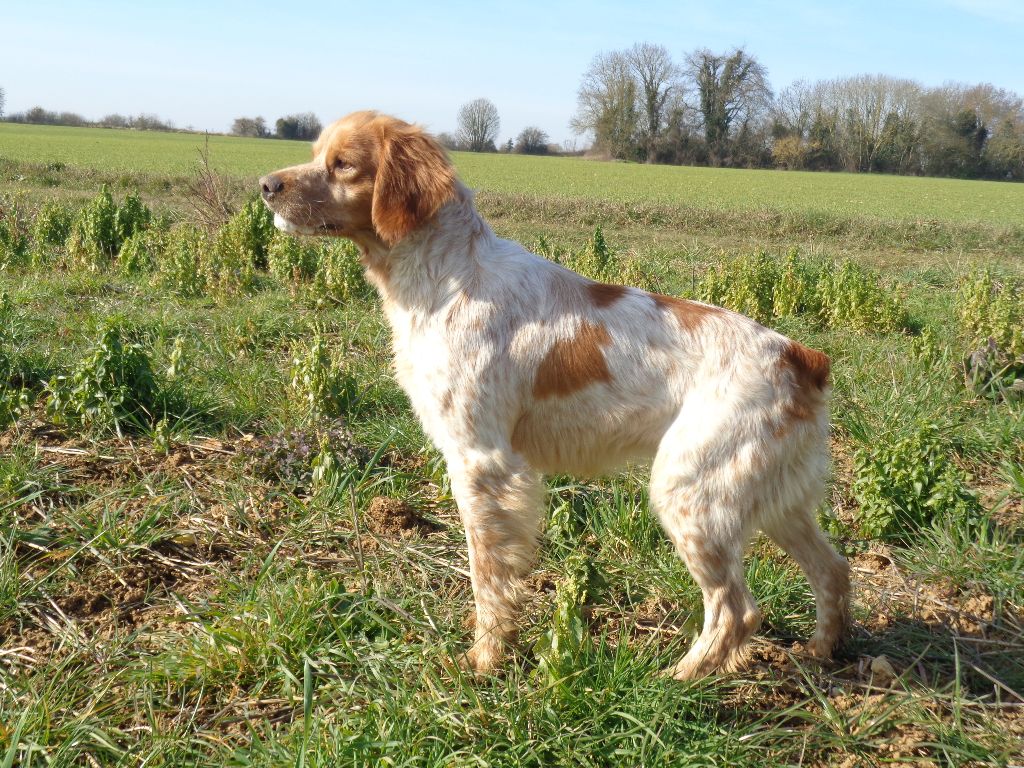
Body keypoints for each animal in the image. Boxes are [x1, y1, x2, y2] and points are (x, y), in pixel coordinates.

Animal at [260, 109, 851, 679]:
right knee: (832, 568)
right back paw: (818, 652)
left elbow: (488, 576)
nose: (266, 185)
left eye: (342, 164)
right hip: (773, 498)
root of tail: (799, 356)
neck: (448, 276)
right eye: (316, 154)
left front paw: (485, 660)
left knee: (736, 609)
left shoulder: (481, 461)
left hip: (690, 491)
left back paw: (677, 679)